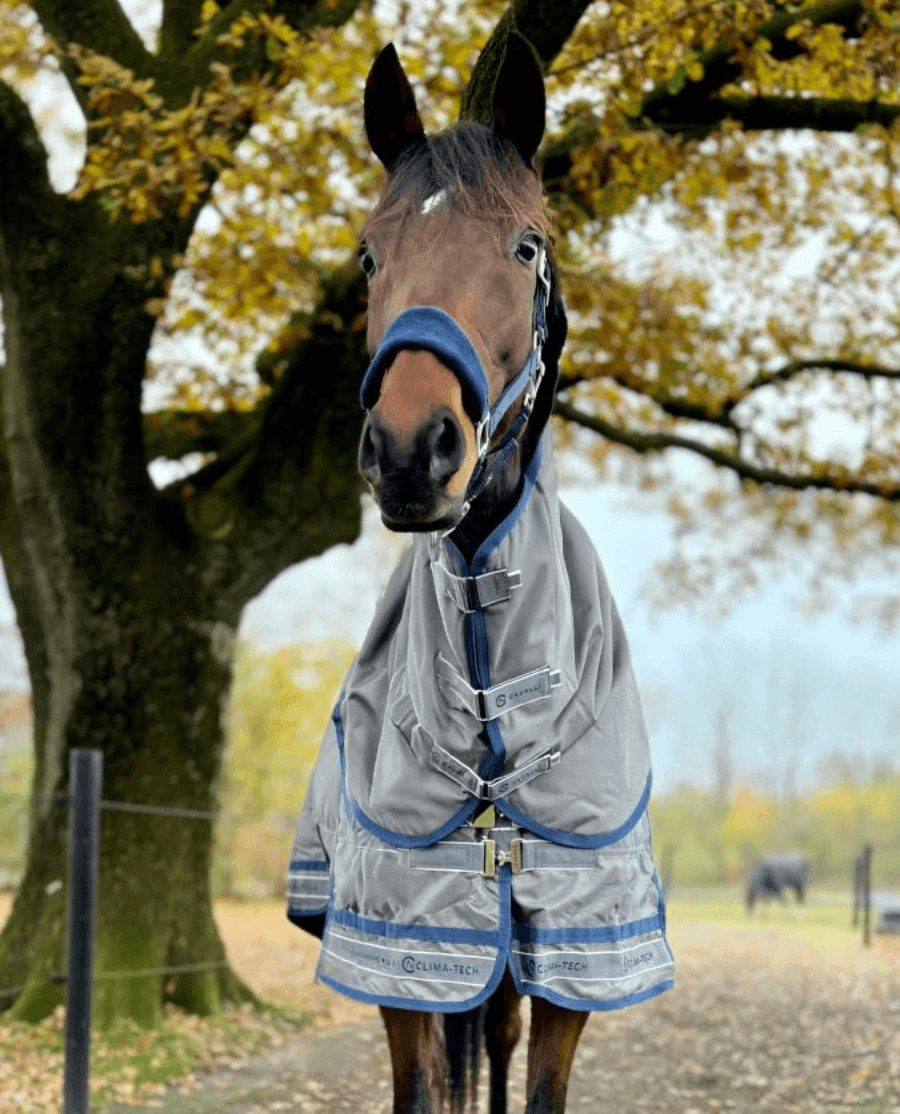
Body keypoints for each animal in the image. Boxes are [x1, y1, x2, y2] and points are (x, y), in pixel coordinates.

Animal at [287, 34, 674, 1114]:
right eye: (369, 255)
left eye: (526, 247)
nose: (412, 451)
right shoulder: (400, 935)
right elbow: (420, 1084)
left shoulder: (583, 938)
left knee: (495, 1036)